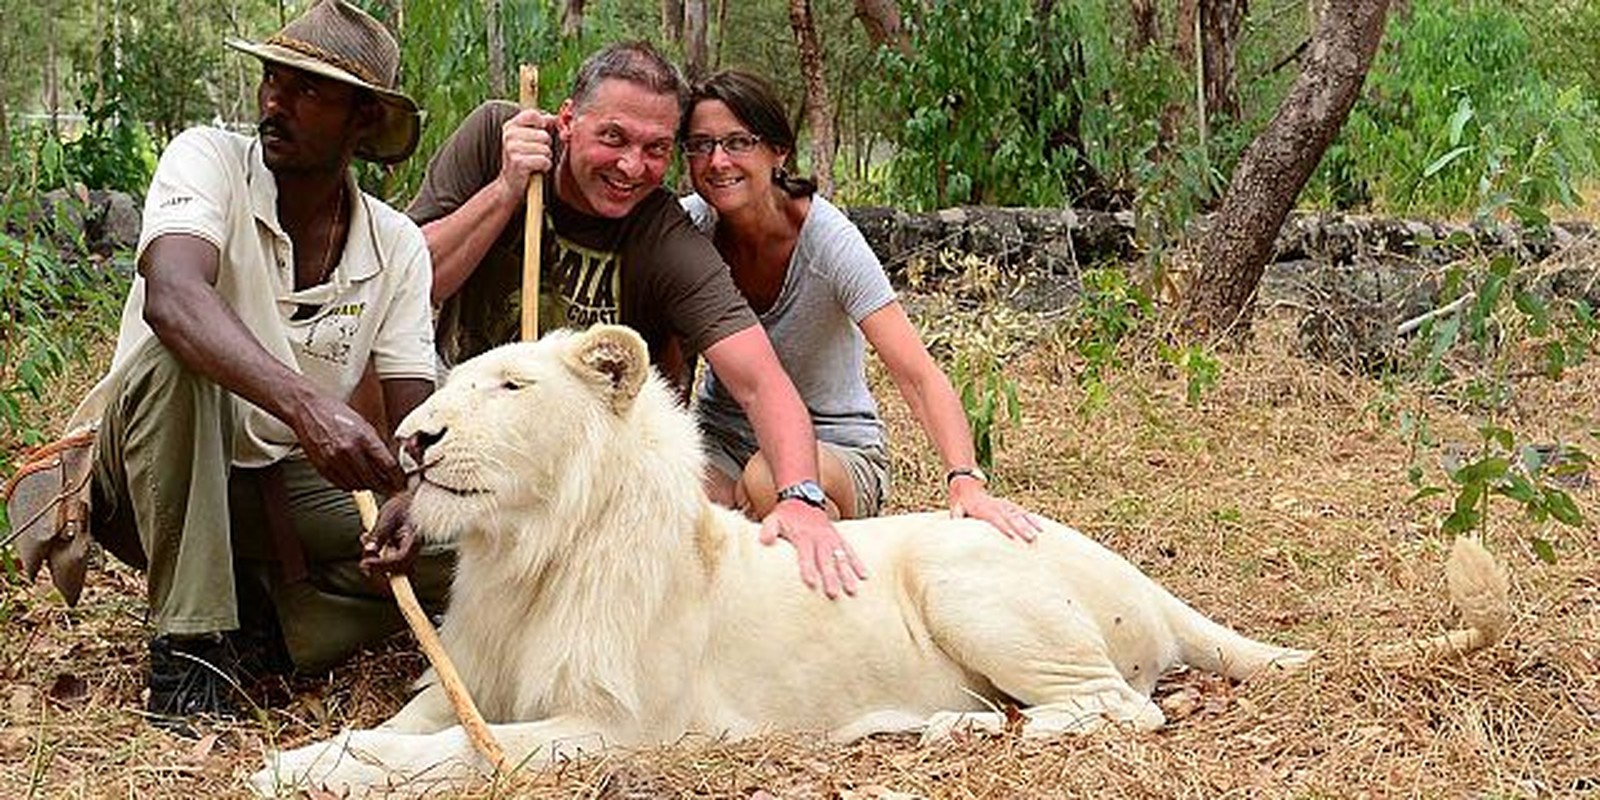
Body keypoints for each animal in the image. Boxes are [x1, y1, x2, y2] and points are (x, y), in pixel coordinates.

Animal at [246, 323, 1497, 793]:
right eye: (446, 385)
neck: (528, 551)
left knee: (1116, 707)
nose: (412, 438)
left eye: (507, 386)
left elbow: (457, 749)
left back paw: (965, 731)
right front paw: (301, 754)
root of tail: (1136, 571)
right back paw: (940, 725)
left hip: (965, 576)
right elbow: (411, 723)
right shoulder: (475, 670)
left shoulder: (618, 725)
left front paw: (325, 768)